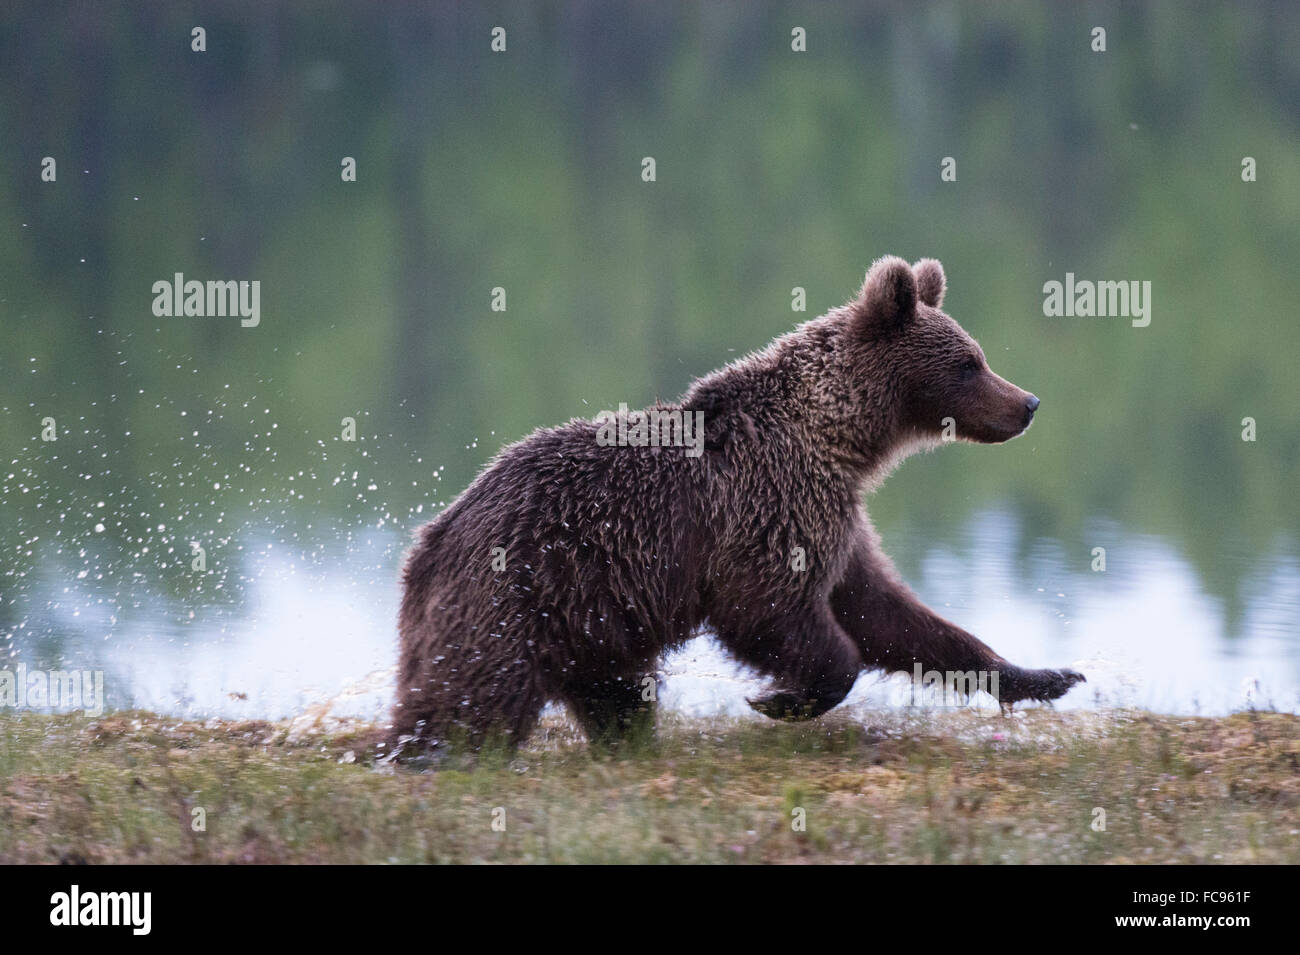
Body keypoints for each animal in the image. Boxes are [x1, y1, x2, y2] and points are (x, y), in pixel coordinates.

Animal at [390, 255, 1081, 753]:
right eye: (969, 363)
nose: (1027, 404)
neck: (839, 440)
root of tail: (428, 541)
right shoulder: (767, 510)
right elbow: (770, 611)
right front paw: (781, 699)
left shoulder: (834, 521)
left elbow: (895, 617)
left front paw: (1045, 676)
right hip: (520, 594)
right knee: (473, 699)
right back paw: (426, 754)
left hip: (589, 624)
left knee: (616, 695)